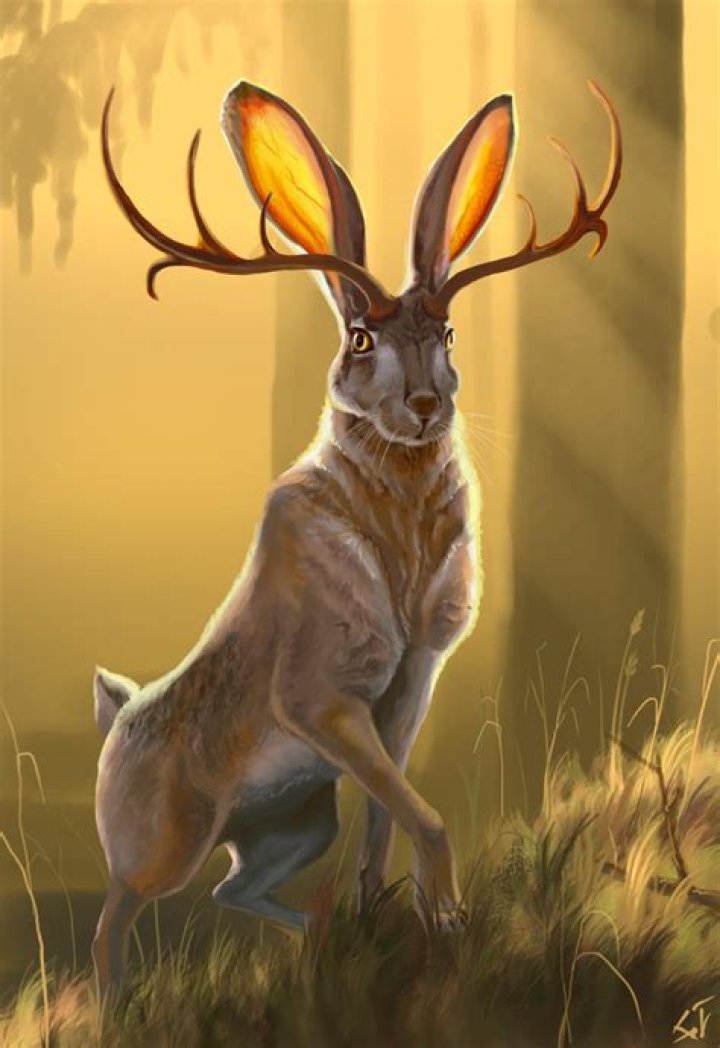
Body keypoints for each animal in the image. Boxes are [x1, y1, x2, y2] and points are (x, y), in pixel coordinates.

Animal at [92, 78, 620, 997]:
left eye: (447, 335)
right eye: (361, 338)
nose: (425, 405)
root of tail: (116, 718)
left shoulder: (407, 686)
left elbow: (389, 805)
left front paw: (387, 915)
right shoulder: (319, 696)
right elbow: (424, 812)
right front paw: (449, 917)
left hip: (299, 824)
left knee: (234, 889)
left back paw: (318, 927)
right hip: (165, 843)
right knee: (116, 916)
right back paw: (114, 1002)